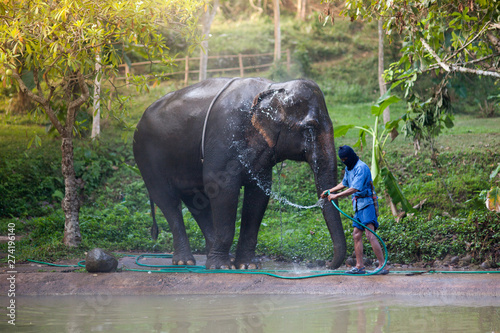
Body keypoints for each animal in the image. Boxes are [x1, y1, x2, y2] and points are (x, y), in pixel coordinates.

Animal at [131, 76, 346, 268]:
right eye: (310, 128)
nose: (326, 264)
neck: (273, 87)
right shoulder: (223, 137)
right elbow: (221, 189)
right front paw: (222, 267)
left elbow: (258, 195)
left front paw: (247, 265)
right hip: (145, 156)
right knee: (168, 201)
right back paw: (186, 262)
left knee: (195, 201)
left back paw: (210, 255)